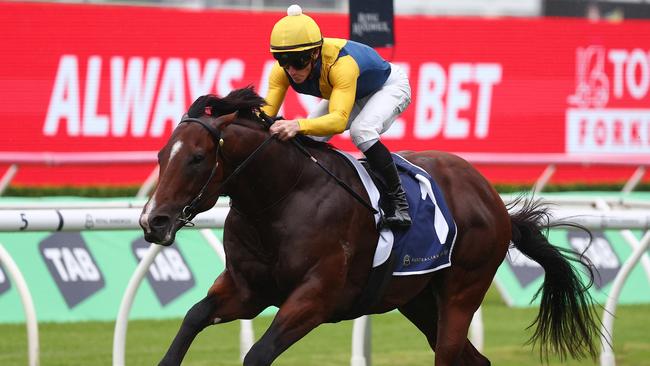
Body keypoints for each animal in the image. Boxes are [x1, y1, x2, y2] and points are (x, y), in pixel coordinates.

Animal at [139, 87, 600, 364]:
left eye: (197, 158)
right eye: (161, 155)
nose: (153, 221)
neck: (282, 197)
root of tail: (492, 199)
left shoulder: (316, 298)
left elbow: (257, 354)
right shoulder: (248, 289)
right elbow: (194, 317)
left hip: (463, 290)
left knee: (450, 352)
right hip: (417, 299)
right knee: (475, 358)